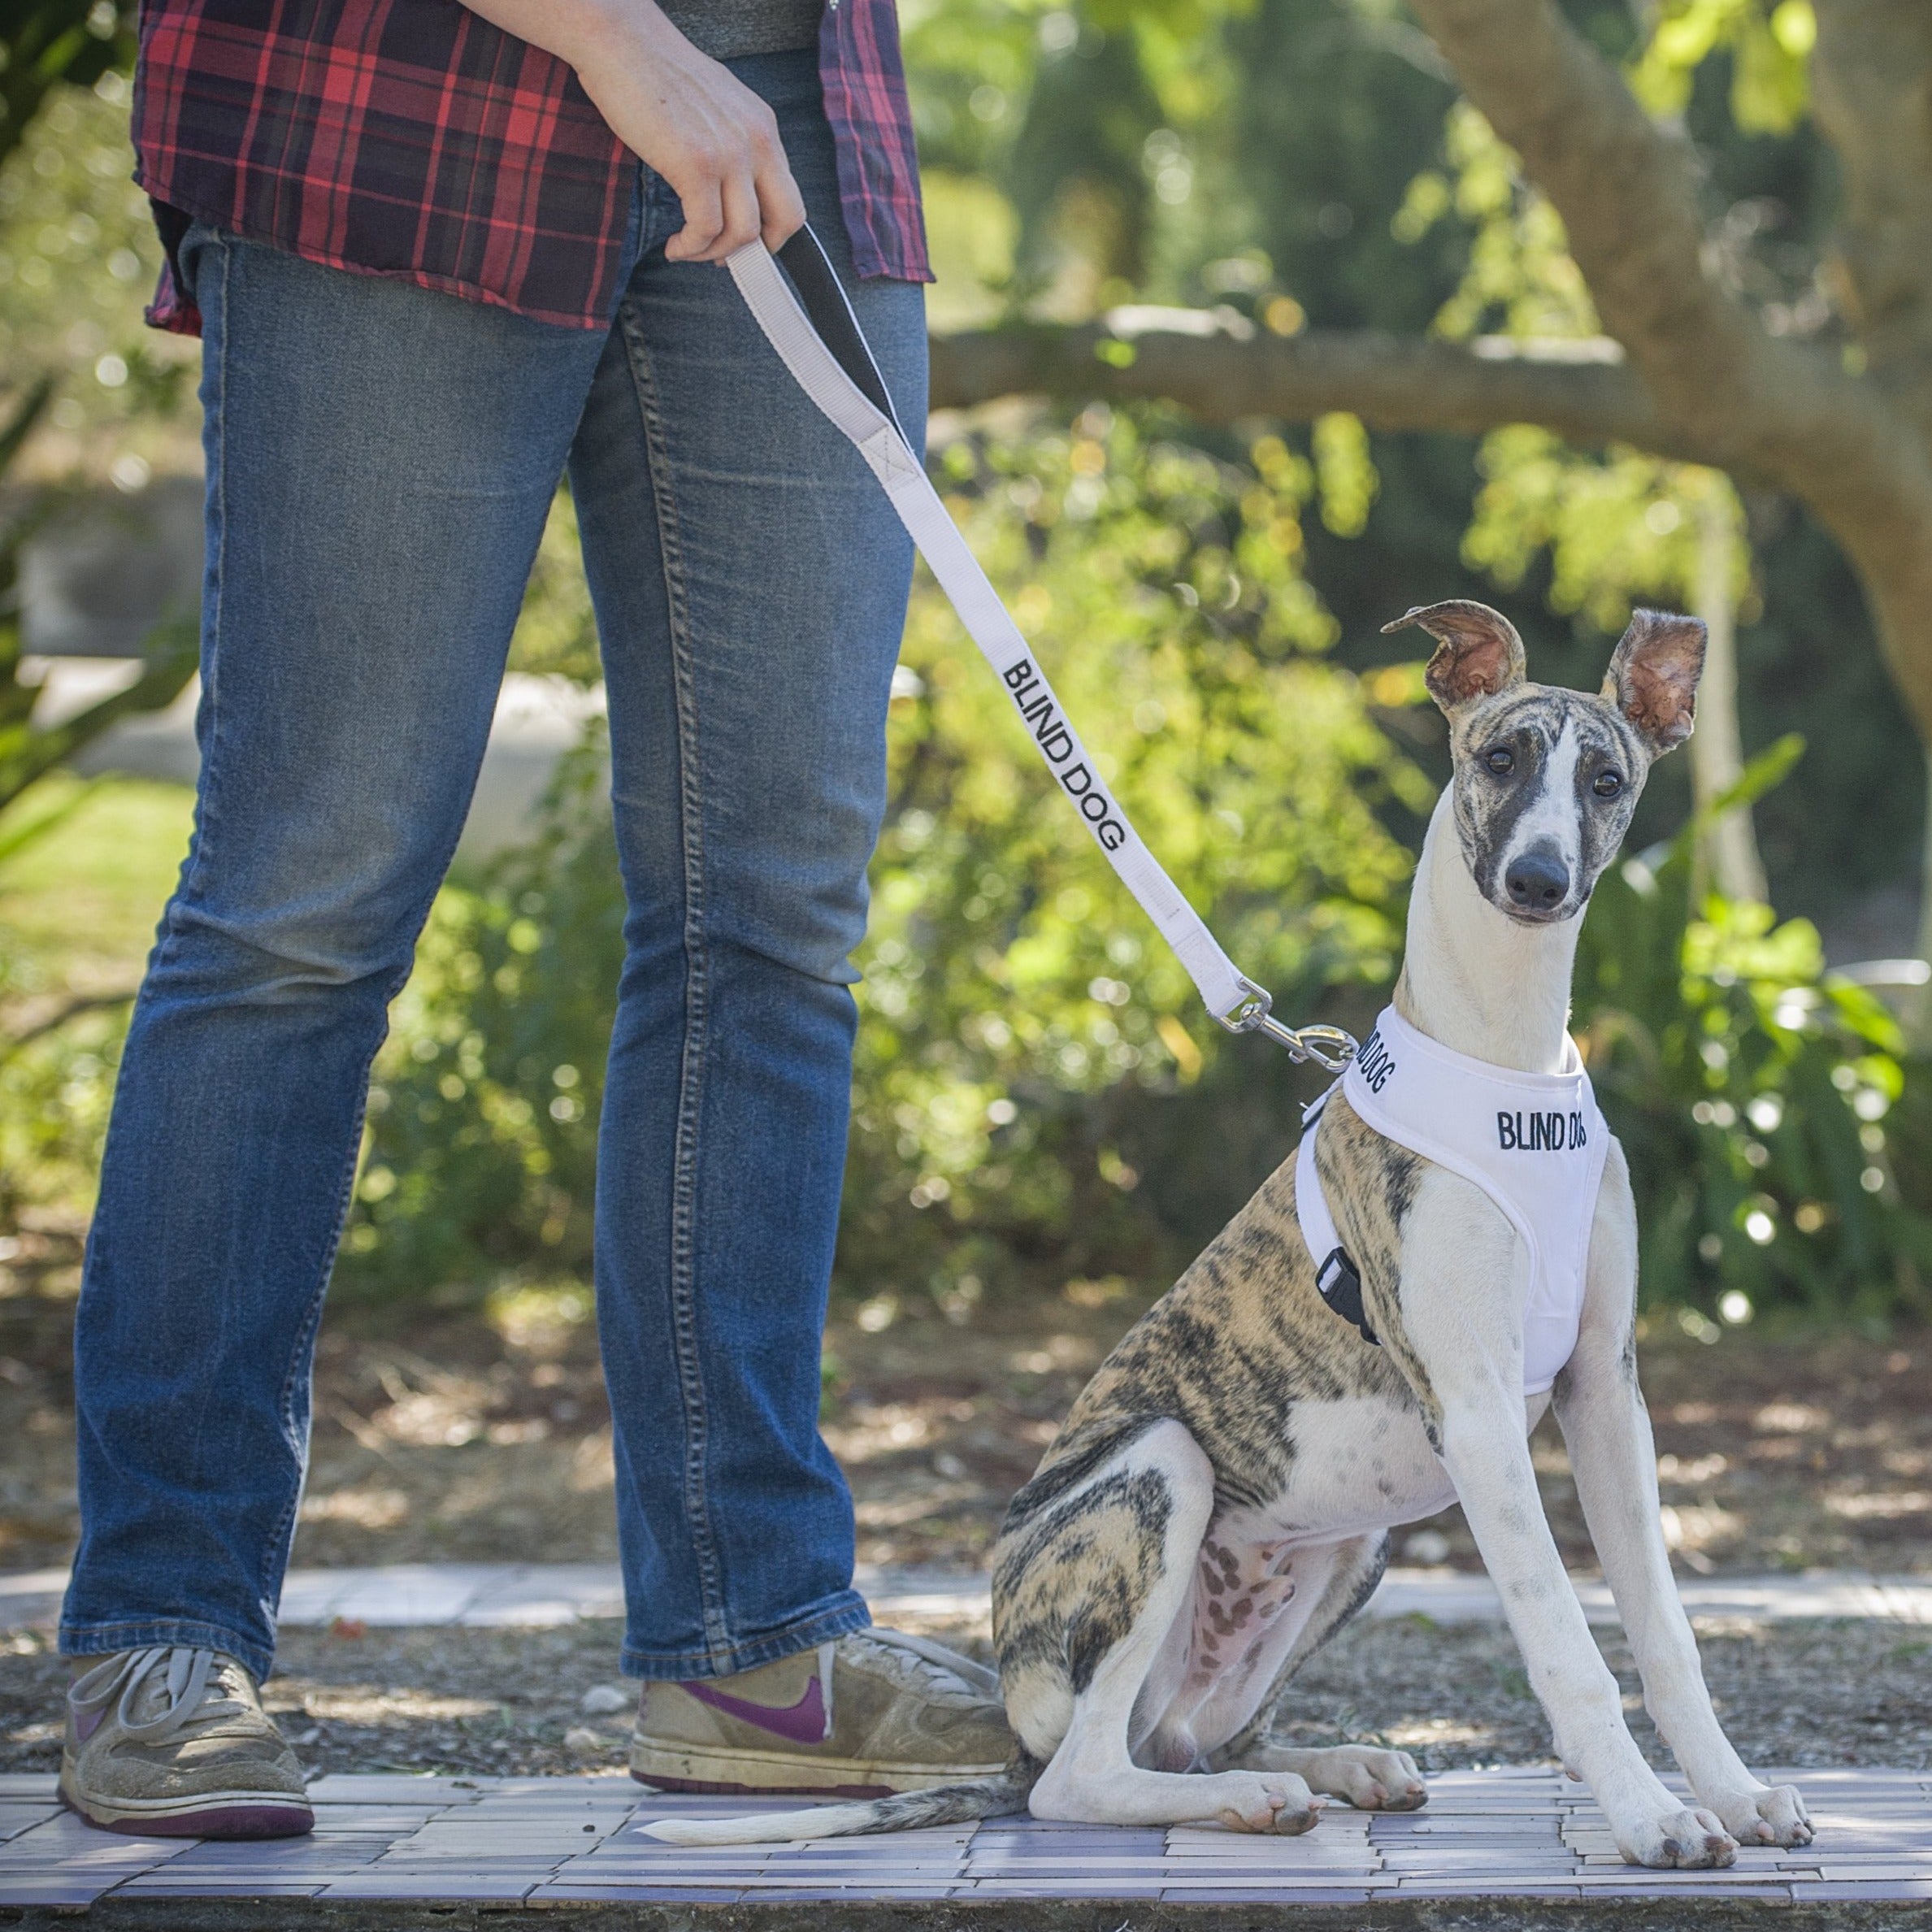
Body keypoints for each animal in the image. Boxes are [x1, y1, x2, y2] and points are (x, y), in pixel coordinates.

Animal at [649, 602, 1808, 1869]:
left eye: (1607, 780)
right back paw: (1247, 1796)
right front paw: (1651, 1816)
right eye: (1499, 758)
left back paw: (1331, 1765)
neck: (1506, 1054)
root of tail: (1015, 1724)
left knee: (1188, 1737)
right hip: (1160, 1472)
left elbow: (1663, 1630)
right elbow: (1565, 1637)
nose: (1539, 881)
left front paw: (1734, 1793)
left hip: (1353, 1551)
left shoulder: (1605, 1390)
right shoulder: (1475, 1407)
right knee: (1087, 1775)